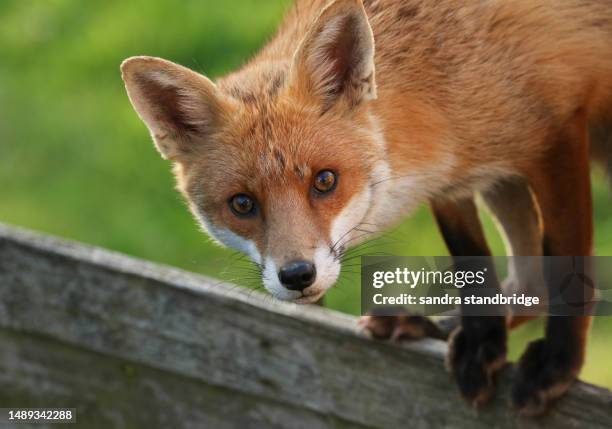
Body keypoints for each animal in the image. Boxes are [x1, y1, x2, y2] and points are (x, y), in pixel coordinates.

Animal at [122, 0, 612, 414]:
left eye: (325, 181)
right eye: (242, 204)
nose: (297, 276)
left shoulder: (557, 135)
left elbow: (567, 271)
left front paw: (556, 365)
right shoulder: (456, 178)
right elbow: (472, 261)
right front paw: (481, 343)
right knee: (530, 285)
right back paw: (435, 326)